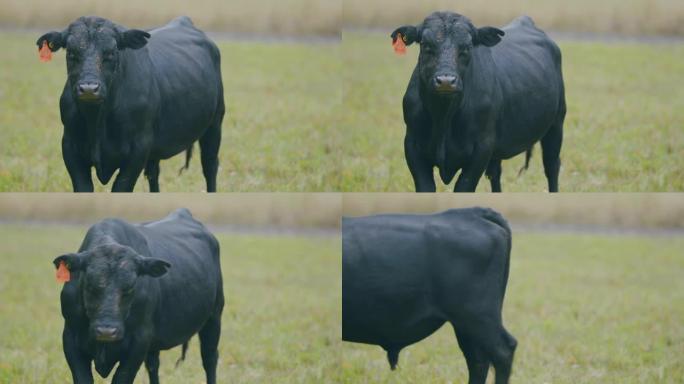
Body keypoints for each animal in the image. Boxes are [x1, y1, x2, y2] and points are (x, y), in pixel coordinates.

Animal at [36, 16, 224, 192]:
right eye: (71, 52)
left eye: (111, 52)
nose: (89, 88)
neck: (98, 119)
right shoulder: (70, 147)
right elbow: (83, 188)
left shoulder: (138, 150)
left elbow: (121, 187)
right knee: (154, 174)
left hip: (215, 124)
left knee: (210, 166)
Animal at [54, 210, 224, 384]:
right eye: (89, 285)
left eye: (130, 288)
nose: (106, 331)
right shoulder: (70, 338)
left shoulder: (139, 341)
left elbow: (122, 377)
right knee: (153, 364)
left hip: (214, 317)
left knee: (210, 358)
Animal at [392, 12, 564, 192]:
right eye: (425, 45)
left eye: (467, 47)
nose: (446, 81)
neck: (444, 117)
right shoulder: (412, 146)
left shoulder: (481, 149)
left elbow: (464, 187)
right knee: (495, 174)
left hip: (556, 123)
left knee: (552, 166)